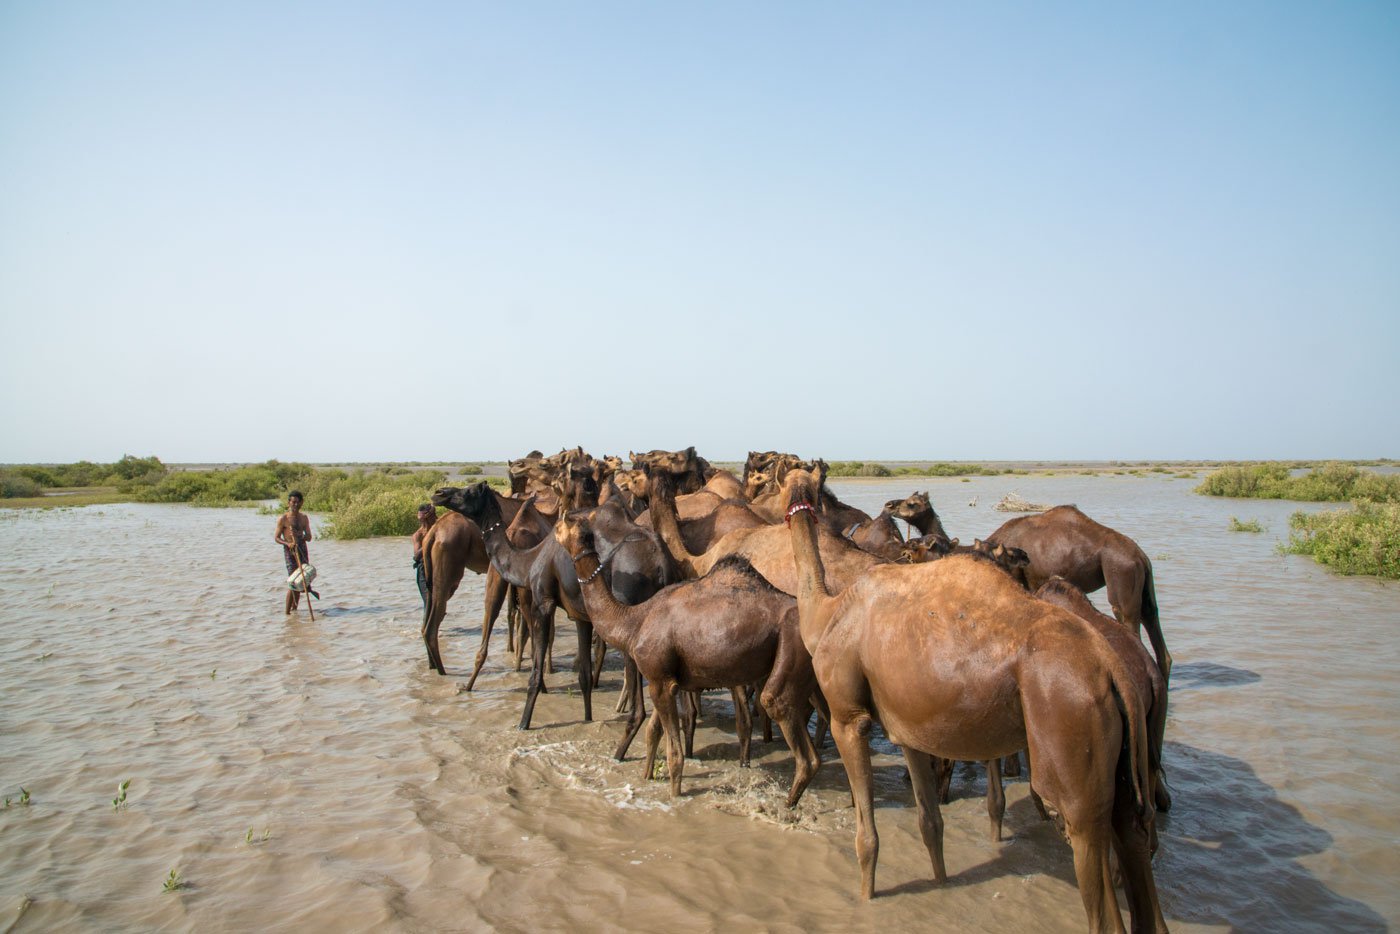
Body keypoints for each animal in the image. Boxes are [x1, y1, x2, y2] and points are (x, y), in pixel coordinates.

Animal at [554, 506, 823, 806]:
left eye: (561, 524)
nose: (554, 529)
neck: (634, 621)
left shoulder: (660, 680)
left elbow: (675, 755)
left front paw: (674, 796)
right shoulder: (665, 679)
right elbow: (653, 732)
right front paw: (646, 776)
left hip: (791, 648)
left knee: (791, 731)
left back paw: (787, 805)